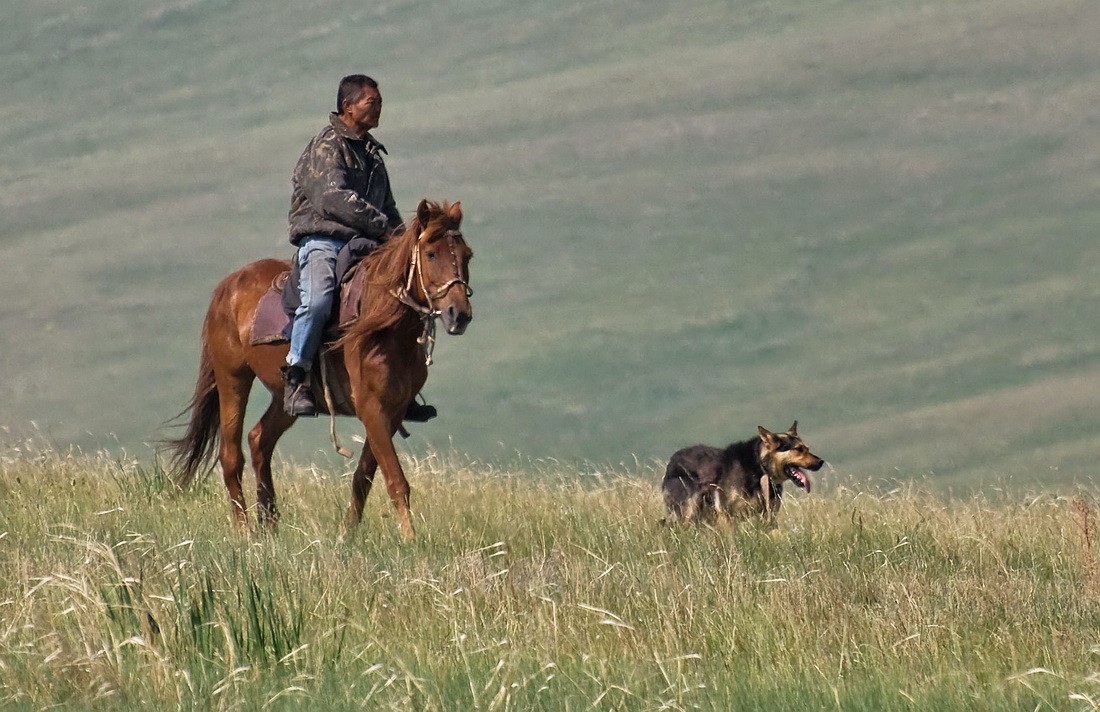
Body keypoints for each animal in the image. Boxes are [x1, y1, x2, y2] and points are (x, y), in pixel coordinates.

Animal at [163, 198, 473, 537]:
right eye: (431, 254)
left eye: (467, 255)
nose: (459, 314)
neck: (385, 326)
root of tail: (227, 286)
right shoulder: (372, 409)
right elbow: (396, 481)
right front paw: (410, 538)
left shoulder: (392, 412)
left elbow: (363, 478)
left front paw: (345, 535)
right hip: (232, 379)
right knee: (231, 455)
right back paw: (246, 533)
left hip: (284, 398)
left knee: (260, 440)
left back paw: (270, 524)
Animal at [660, 420, 827, 526]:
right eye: (798, 449)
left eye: (807, 448)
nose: (820, 462)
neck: (760, 468)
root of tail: (673, 460)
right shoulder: (727, 514)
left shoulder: (769, 515)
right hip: (689, 511)